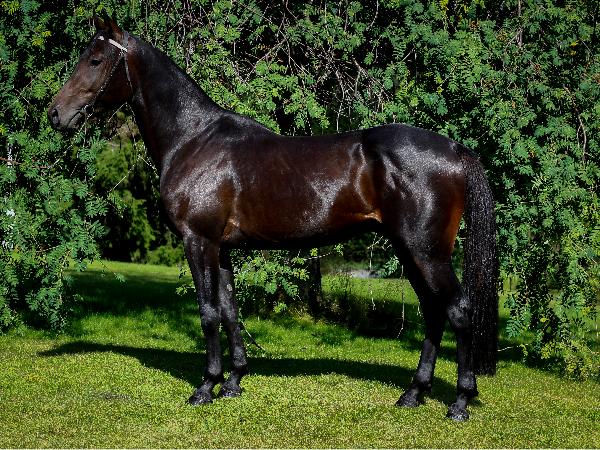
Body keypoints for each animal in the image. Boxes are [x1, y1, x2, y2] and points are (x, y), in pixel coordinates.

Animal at [48, 16, 498, 421]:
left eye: (96, 60)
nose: (55, 114)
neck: (193, 140)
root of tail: (456, 150)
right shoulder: (221, 249)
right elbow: (230, 310)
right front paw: (233, 382)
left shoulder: (198, 241)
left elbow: (208, 312)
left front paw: (205, 388)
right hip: (410, 251)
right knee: (434, 311)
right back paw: (414, 394)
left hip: (427, 253)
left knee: (458, 310)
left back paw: (460, 402)